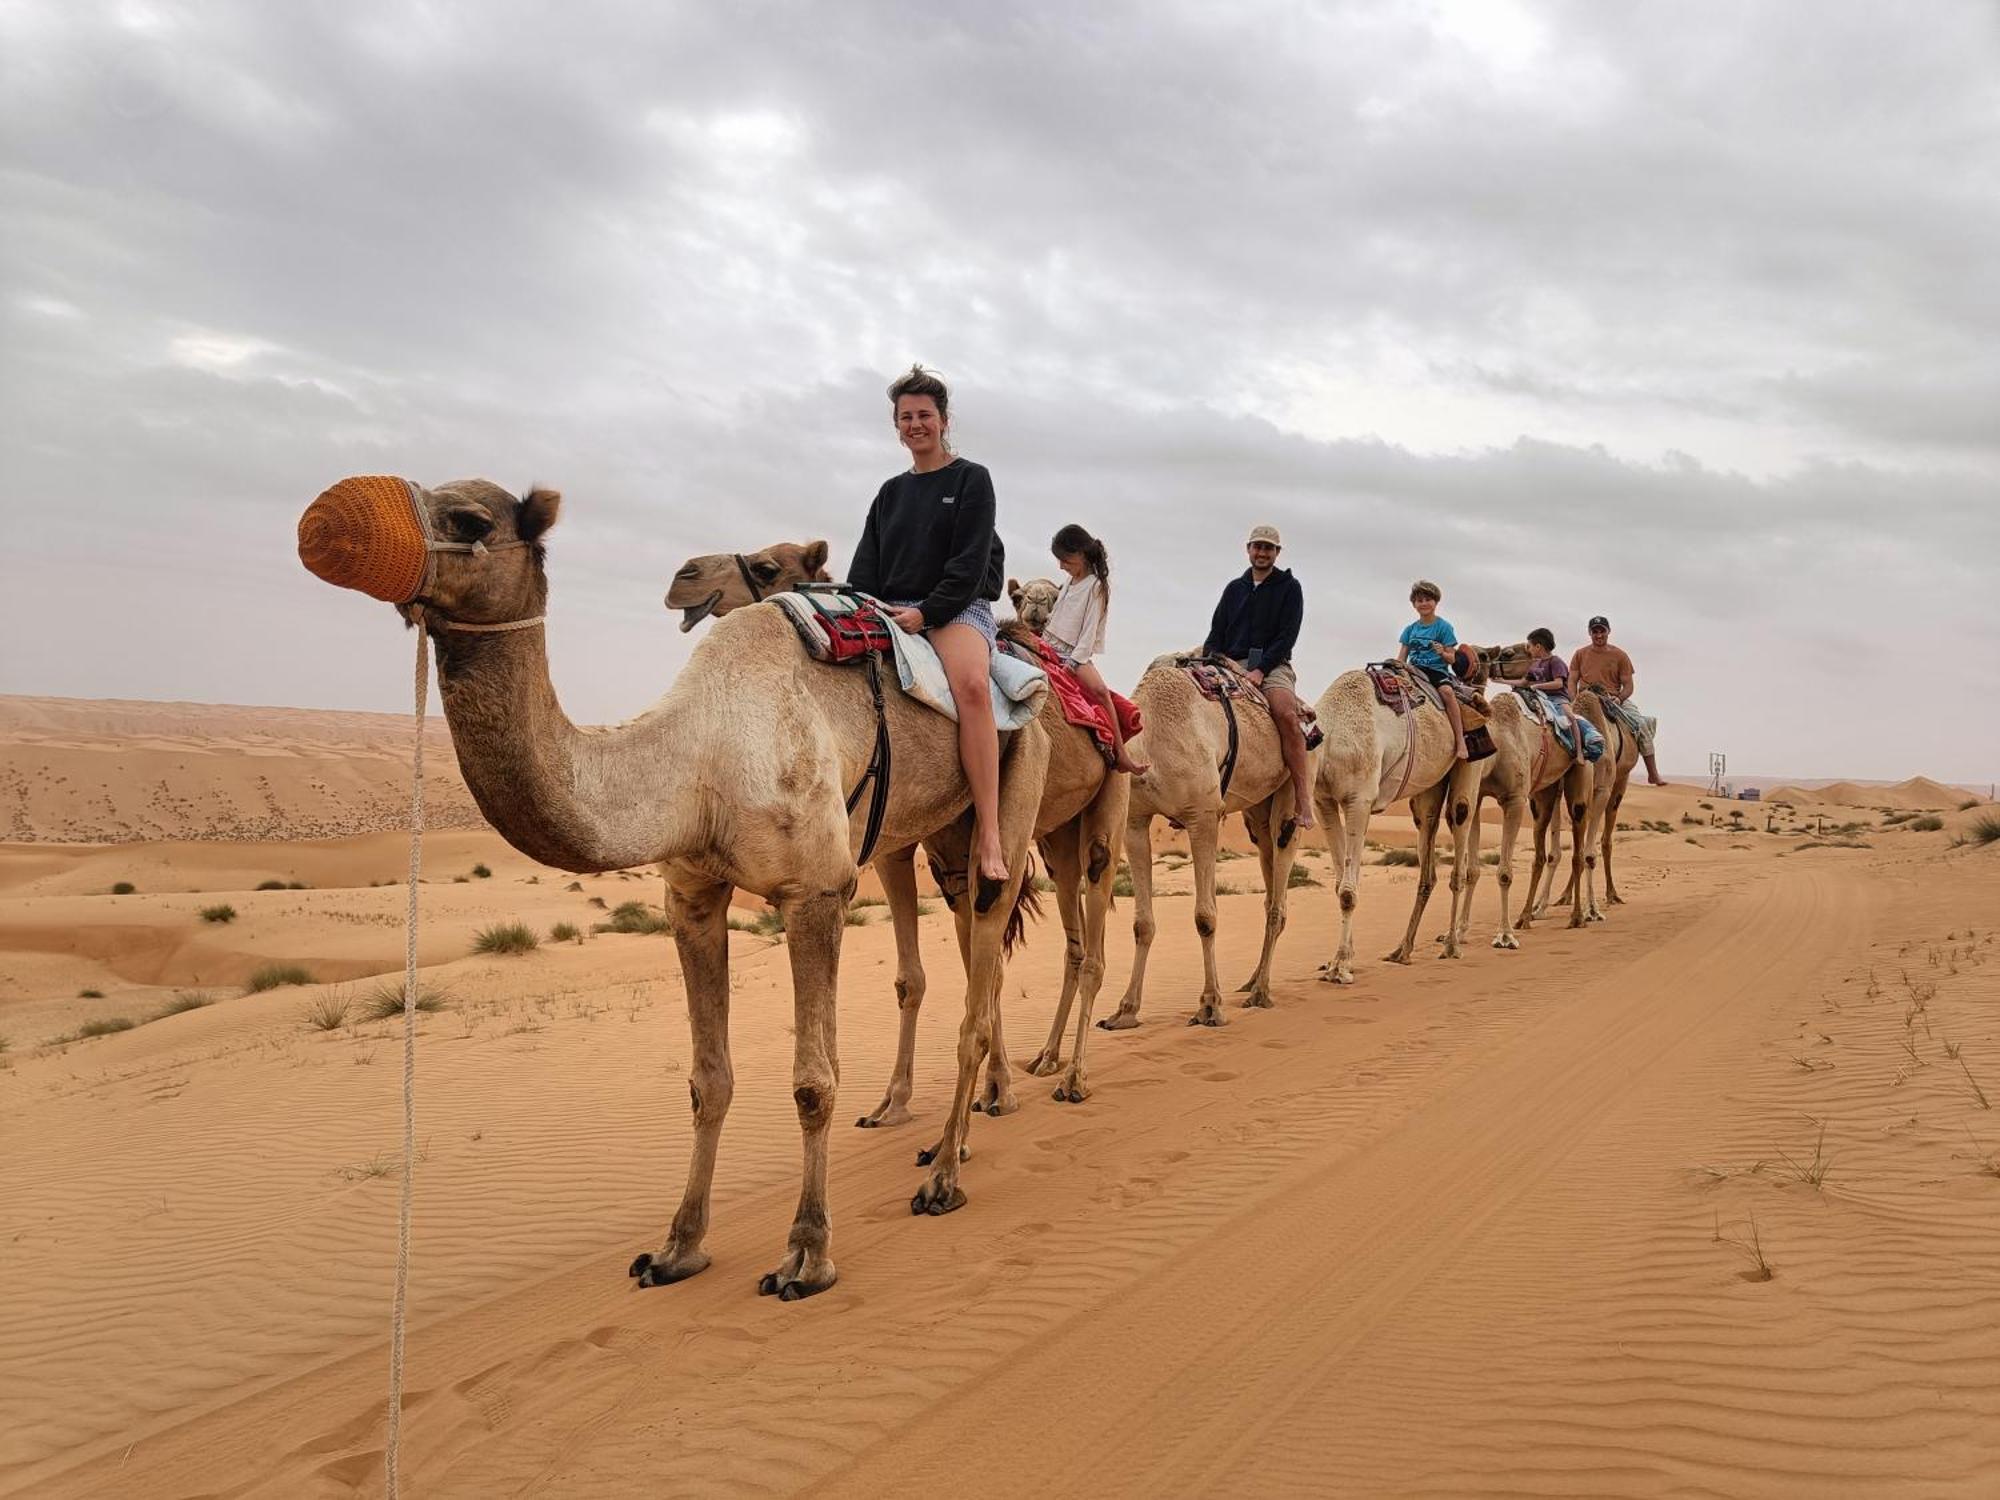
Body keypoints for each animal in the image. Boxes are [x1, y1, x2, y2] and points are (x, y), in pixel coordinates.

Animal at [300, 482, 1048, 1304]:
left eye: (470, 521)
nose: (327, 523)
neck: (697, 758)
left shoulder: (817, 890)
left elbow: (813, 1084)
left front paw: (806, 1254)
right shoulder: (691, 895)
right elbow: (706, 1080)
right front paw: (676, 1247)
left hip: (1015, 784)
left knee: (981, 980)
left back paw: (944, 1174)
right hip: (941, 832)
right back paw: (960, 1136)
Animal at [672, 548, 1136, 1104]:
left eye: (767, 567)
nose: (685, 578)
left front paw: (992, 1093)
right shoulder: (918, 843)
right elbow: (953, 971)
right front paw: (907, 1098)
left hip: (1107, 796)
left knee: (1095, 915)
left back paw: (1074, 1076)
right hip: (1054, 837)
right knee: (1071, 935)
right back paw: (1046, 1057)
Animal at [1088, 656, 1304, 1032]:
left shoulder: (1202, 815)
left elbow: (1205, 916)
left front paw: (1210, 1007)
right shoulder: (1134, 821)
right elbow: (1141, 923)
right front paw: (1124, 1011)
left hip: (1292, 784)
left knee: (1279, 889)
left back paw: (1260, 992)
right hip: (1257, 811)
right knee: (1267, 870)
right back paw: (1251, 980)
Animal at [1304, 664, 1496, 980]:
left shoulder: (1359, 799)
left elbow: (1347, 891)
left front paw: (1341, 966)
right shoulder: (1323, 801)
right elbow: (1341, 883)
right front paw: (1339, 961)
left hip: (1470, 762)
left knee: (1460, 827)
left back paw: (1452, 944)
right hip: (1427, 789)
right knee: (1427, 857)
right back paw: (1401, 950)